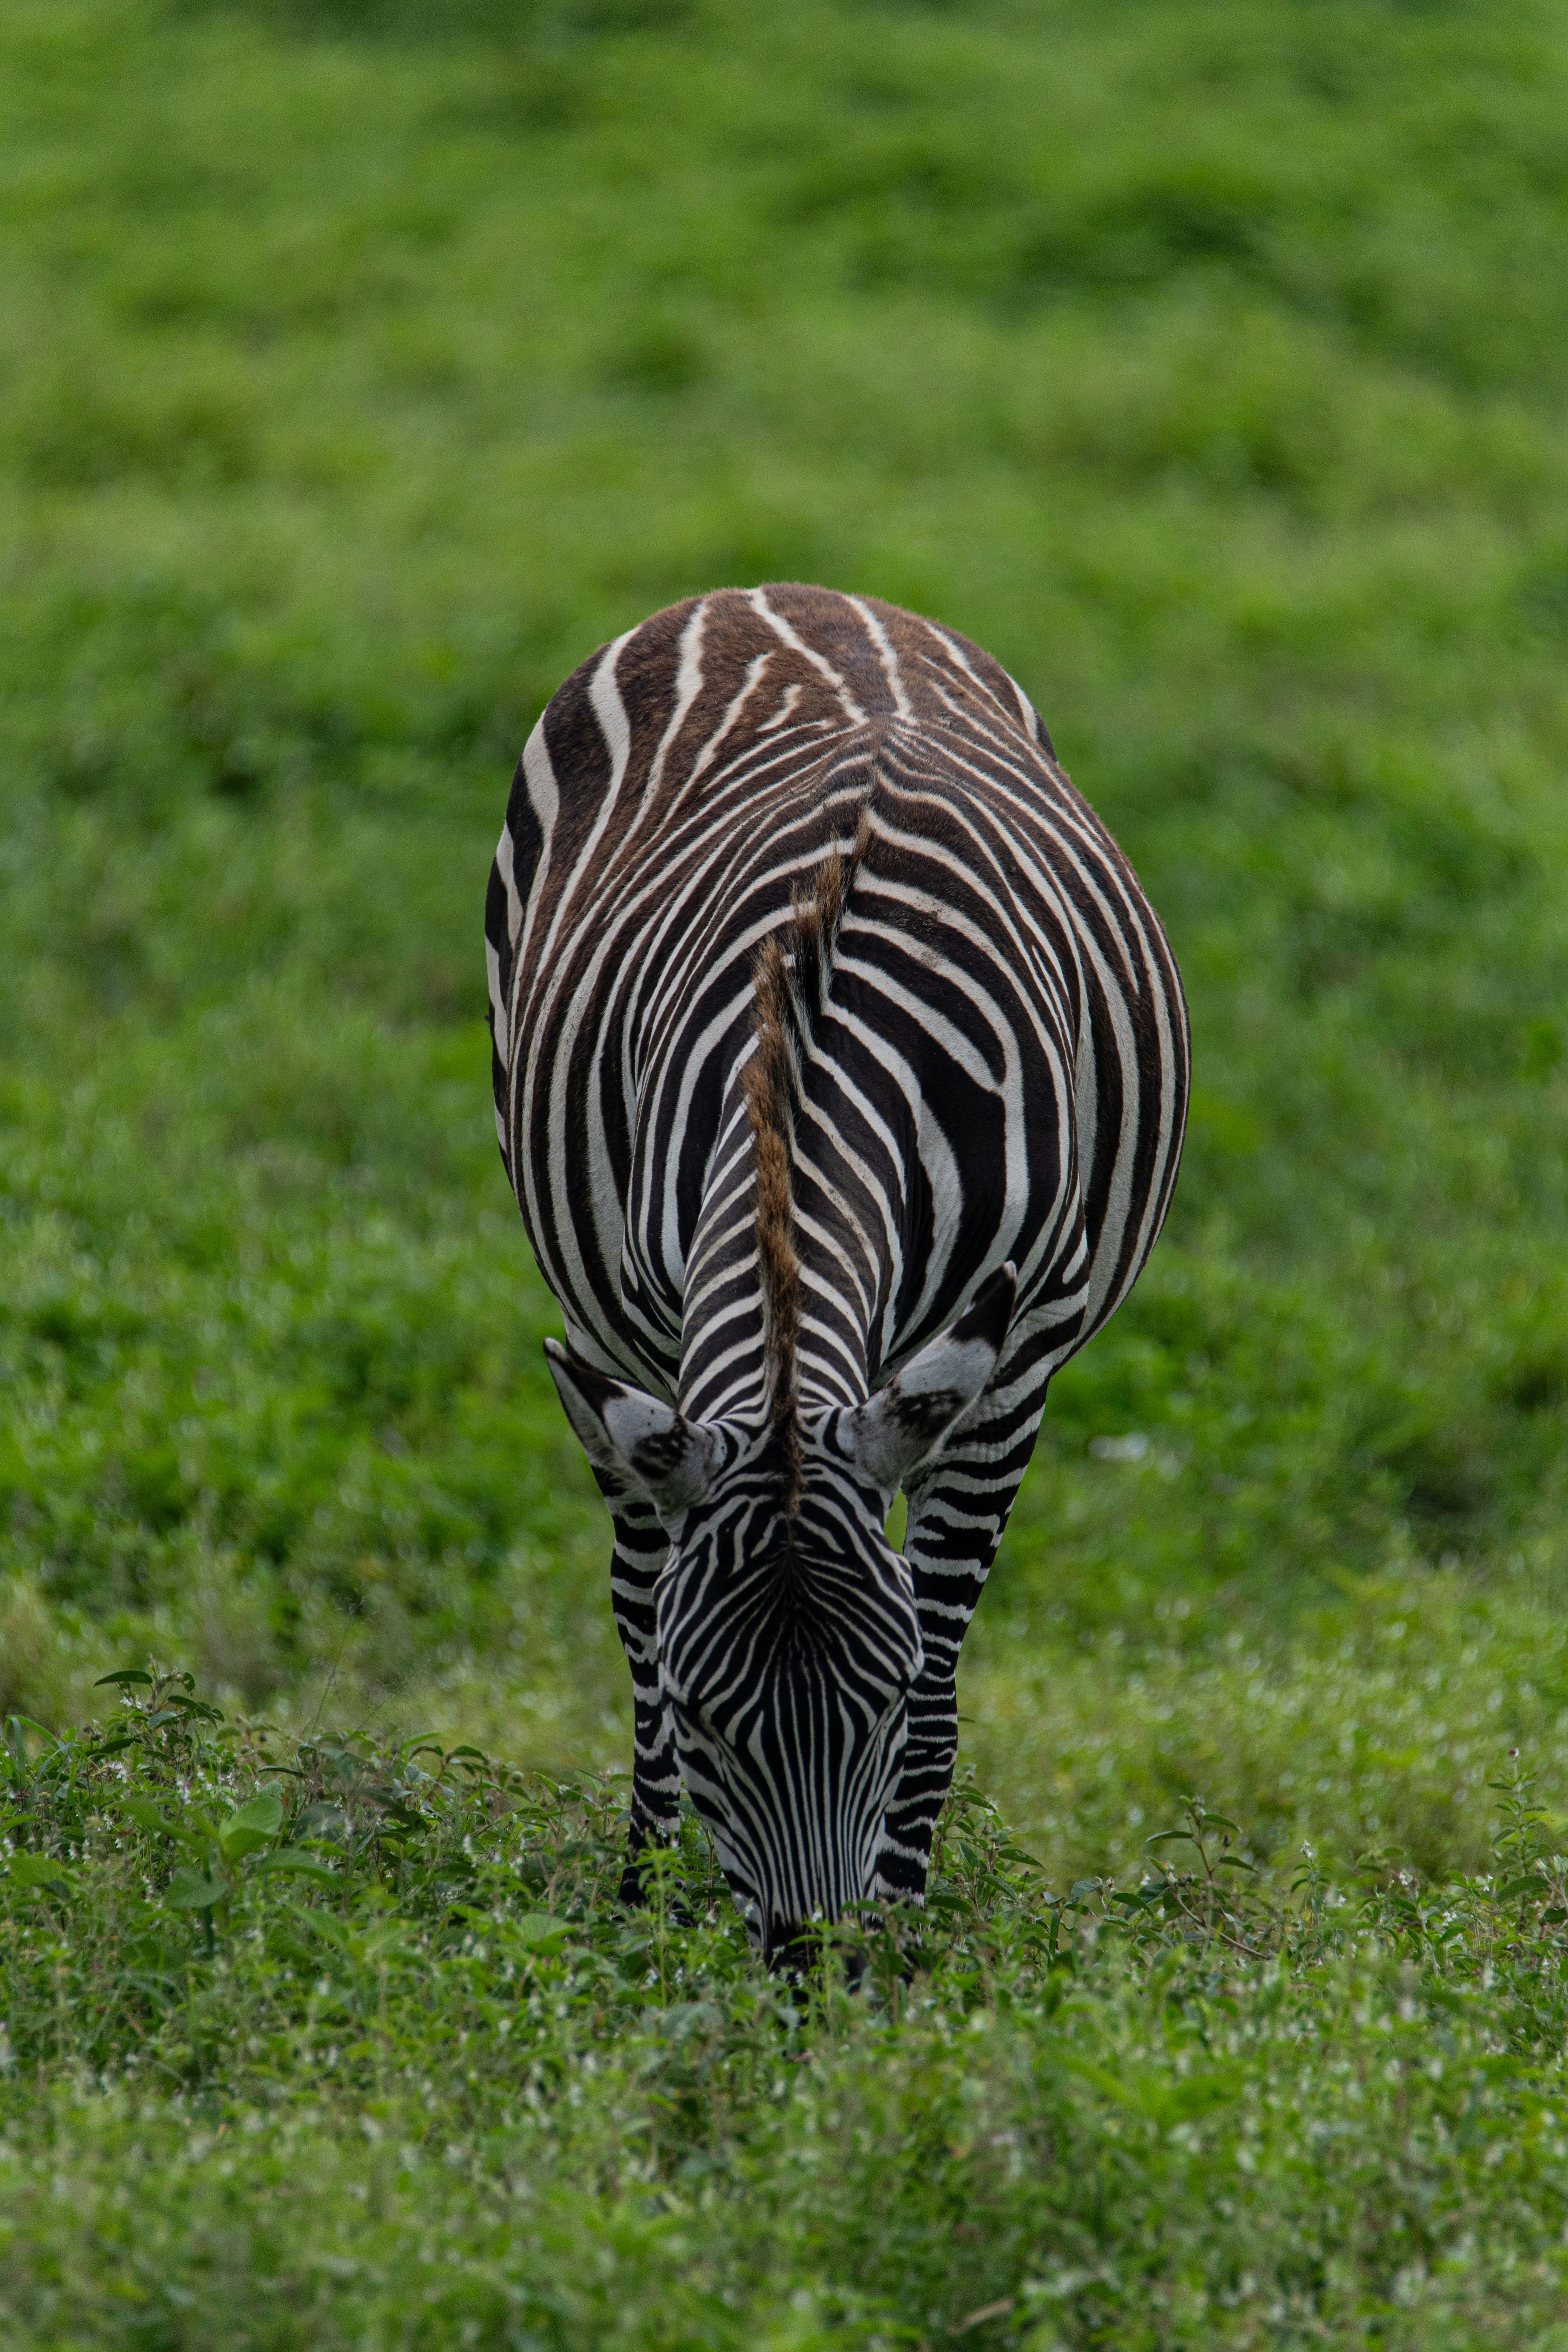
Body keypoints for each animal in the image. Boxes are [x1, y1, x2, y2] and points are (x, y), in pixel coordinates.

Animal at [485, 584, 1188, 1959]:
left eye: (882, 1702)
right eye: (709, 1720)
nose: (816, 1971)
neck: (810, 1090)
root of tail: (774, 592)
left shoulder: (1007, 1372)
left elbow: (945, 1665)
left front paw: (910, 1933)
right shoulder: (674, 1343)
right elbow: (654, 1636)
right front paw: (667, 1922)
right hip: (596, 1316)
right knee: (634, 1597)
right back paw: (642, 1886)